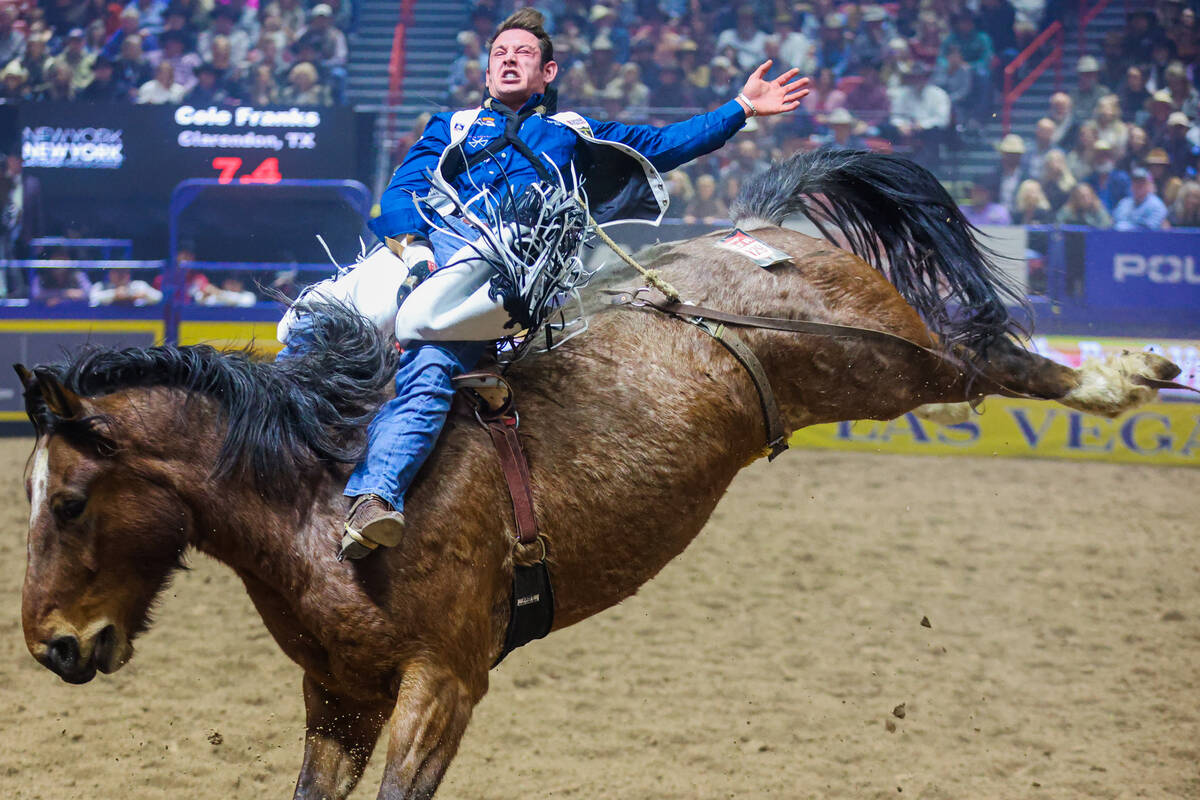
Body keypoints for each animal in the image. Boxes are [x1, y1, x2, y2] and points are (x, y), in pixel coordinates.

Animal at [14, 148, 1176, 796]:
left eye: (69, 501)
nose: (52, 648)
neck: (315, 488)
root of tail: (765, 226)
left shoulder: (446, 679)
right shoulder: (338, 693)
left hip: (878, 356)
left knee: (986, 355)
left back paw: (1126, 373)